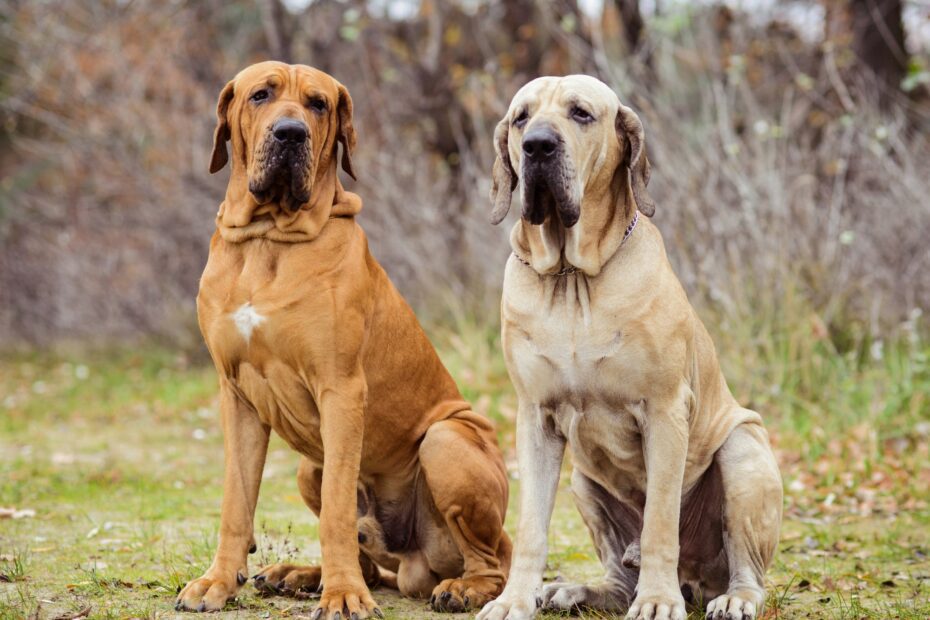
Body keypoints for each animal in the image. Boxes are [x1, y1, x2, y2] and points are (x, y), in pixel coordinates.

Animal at [173, 61, 508, 616]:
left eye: (318, 104)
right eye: (260, 95)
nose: (290, 133)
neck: (268, 239)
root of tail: (413, 565)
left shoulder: (341, 390)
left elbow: (335, 511)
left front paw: (344, 597)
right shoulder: (237, 395)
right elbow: (236, 500)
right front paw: (218, 581)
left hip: (446, 440)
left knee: (494, 562)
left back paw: (460, 589)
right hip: (308, 467)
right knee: (370, 559)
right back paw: (300, 575)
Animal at [474, 76, 780, 620]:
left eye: (580, 113)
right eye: (520, 118)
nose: (537, 146)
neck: (571, 278)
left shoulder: (664, 412)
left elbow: (659, 520)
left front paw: (657, 600)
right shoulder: (535, 418)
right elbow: (530, 528)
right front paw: (514, 600)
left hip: (744, 451)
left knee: (745, 568)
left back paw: (733, 598)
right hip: (583, 482)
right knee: (619, 575)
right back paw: (576, 591)